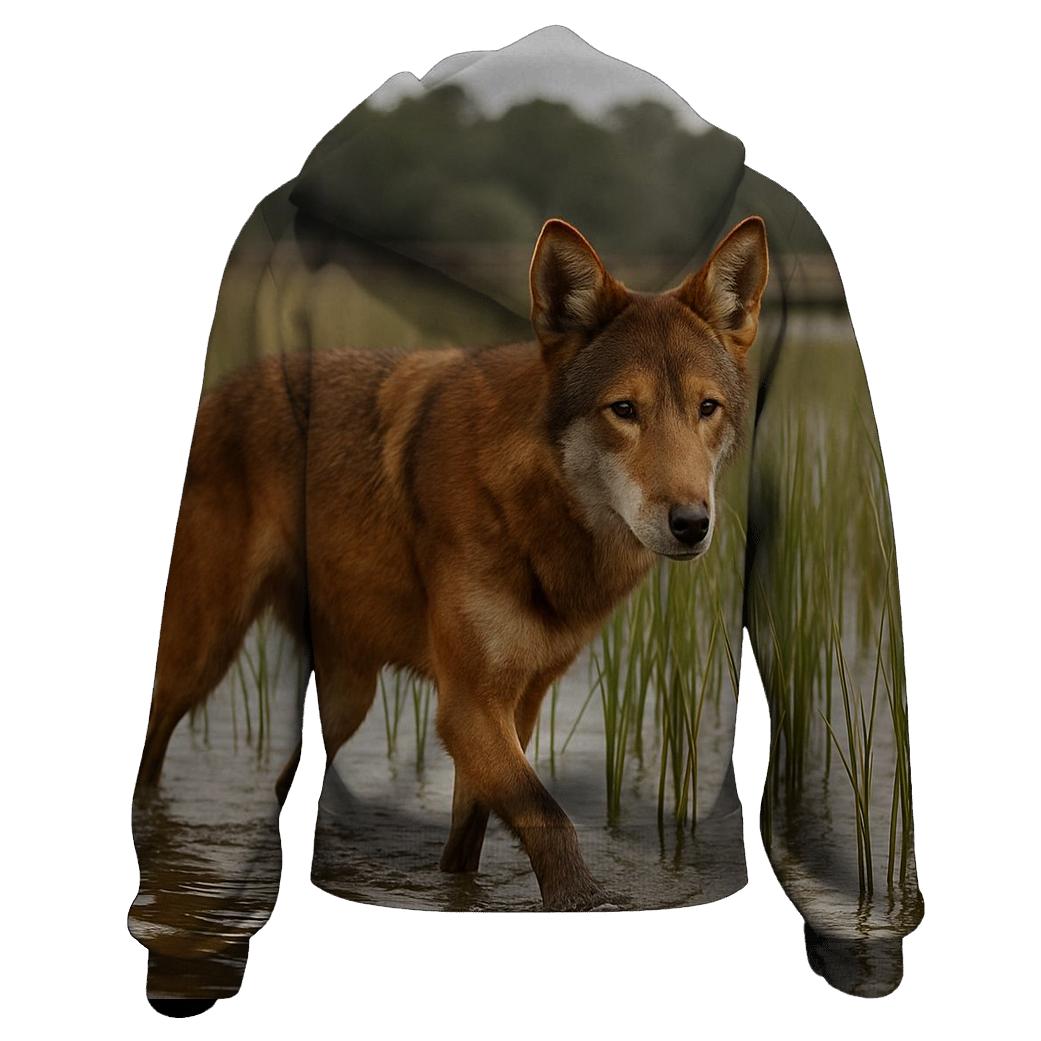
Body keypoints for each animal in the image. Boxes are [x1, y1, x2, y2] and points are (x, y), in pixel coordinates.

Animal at [135, 214, 769, 910]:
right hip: (200, 658)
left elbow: (468, 840)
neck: (536, 517)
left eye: (707, 408)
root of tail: (219, 391)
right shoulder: (467, 706)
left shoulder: (518, 705)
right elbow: (552, 824)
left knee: (285, 783)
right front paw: (586, 903)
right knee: (153, 754)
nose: (692, 524)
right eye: (624, 409)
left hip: (345, 698)